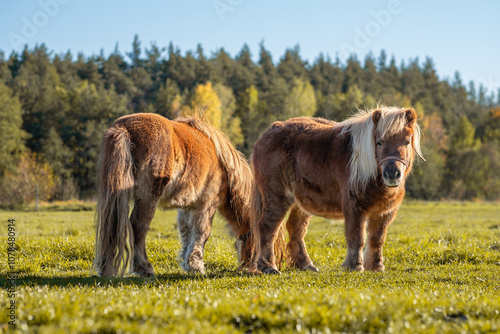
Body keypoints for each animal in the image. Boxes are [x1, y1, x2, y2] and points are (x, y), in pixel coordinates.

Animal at [92, 112, 254, 276]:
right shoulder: (206, 205)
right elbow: (202, 232)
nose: (250, 267)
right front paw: (196, 266)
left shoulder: (188, 207)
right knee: (138, 227)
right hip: (147, 197)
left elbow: (186, 232)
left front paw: (188, 264)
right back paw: (144, 268)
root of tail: (123, 128)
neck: (224, 166)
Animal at [248, 107, 424, 274]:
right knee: (267, 228)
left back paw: (306, 265)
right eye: (379, 142)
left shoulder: (384, 212)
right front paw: (355, 266)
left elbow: (377, 239)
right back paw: (268, 267)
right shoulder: (355, 208)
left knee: (296, 229)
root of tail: (266, 134)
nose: (392, 174)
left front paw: (376, 266)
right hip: (277, 196)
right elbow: (357, 237)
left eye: (407, 141)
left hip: (301, 202)